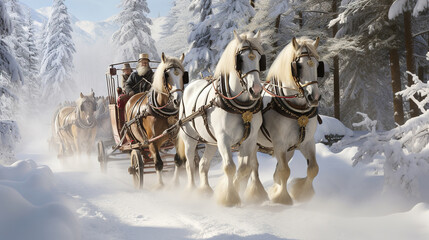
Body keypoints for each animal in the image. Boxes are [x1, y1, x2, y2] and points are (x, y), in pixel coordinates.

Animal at [123, 52, 185, 188]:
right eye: (166, 75)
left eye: (183, 75)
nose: (178, 101)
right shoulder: (152, 141)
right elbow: (158, 164)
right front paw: (160, 185)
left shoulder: (176, 136)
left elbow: (178, 160)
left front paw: (175, 182)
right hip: (136, 139)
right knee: (138, 153)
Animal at [176, 30, 264, 206]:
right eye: (240, 60)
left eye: (259, 58)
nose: (256, 90)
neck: (241, 108)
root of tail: (190, 85)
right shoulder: (224, 139)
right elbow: (229, 167)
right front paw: (229, 197)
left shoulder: (250, 139)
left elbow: (244, 168)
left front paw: (236, 188)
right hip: (190, 138)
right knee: (189, 165)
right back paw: (191, 189)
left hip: (210, 141)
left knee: (203, 164)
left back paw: (205, 190)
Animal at [234, 37, 320, 204]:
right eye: (298, 66)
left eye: (318, 65)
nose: (314, 97)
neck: (298, 112)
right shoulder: (279, 143)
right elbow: (285, 170)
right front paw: (281, 197)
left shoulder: (306, 142)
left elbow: (313, 169)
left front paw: (300, 193)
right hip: (252, 143)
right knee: (253, 166)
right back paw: (255, 192)